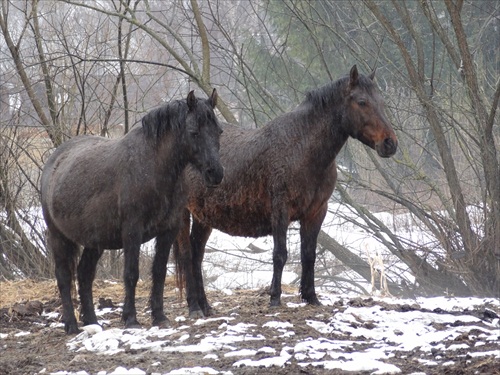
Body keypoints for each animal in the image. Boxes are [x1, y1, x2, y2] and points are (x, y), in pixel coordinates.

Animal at [42, 89, 222, 334]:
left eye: (219, 131)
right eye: (194, 132)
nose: (216, 173)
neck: (152, 168)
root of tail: (54, 162)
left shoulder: (168, 230)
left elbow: (159, 272)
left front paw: (159, 317)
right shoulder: (132, 232)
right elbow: (131, 273)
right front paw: (131, 319)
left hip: (95, 242)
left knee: (85, 275)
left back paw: (92, 322)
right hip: (59, 237)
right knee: (63, 277)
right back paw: (71, 325)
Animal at [175, 65, 398, 318]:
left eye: (380, 101)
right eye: (362, 102)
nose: (390, 143)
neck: (301, 149)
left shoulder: (316, 212)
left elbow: (308, 255)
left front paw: (311, 297)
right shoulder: (280, 210)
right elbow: (280, 254)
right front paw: (275, 298)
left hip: (204, 217)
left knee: (196, 255)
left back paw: (205, 306)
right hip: (183, 214)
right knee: (187, 255)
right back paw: (194, 307)